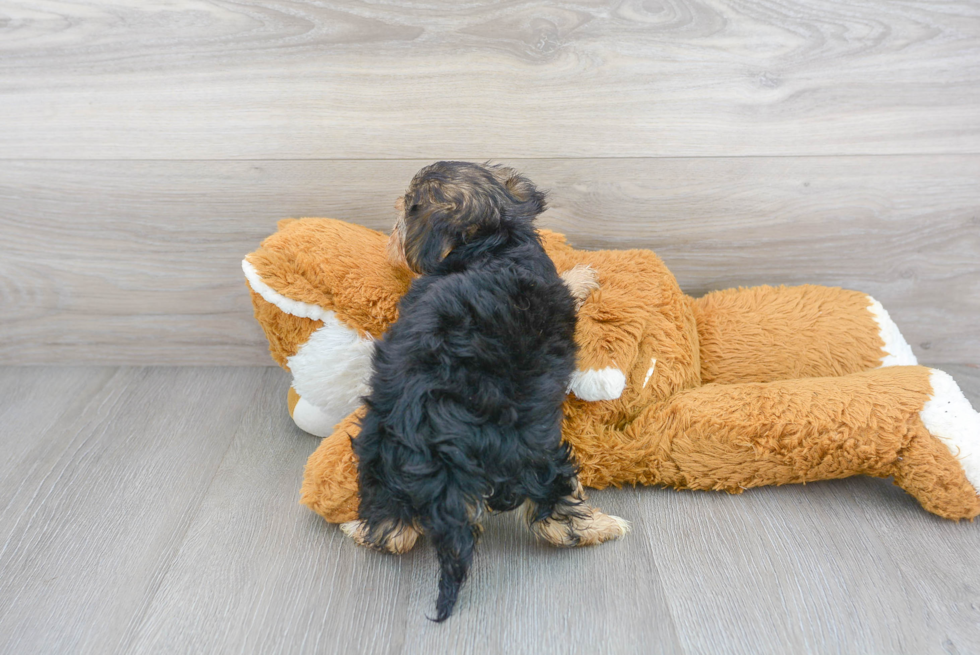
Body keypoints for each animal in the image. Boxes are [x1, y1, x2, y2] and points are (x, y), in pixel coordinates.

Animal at [344, 161, 628, 624]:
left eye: (403, 213)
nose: (390, 238)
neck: (493, 238)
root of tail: (433, 429)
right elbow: (568, 285)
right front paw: (583, 275)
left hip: (377, 446)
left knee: (393, 528)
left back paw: (360, 530)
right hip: (531, 449)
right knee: (555, 514)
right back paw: (603, 527)